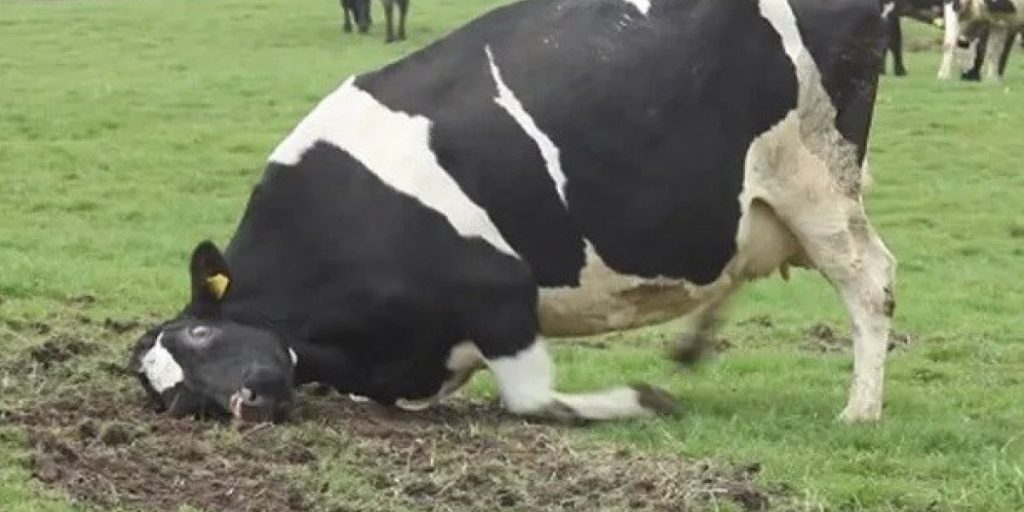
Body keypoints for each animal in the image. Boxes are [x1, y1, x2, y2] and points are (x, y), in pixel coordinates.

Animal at [131, 0, 896, 426]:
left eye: (200, 335)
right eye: (170, 397)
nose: (243, 405)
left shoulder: (500, 291)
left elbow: (530, 402)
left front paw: (644, 401)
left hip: (817, 179)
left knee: (871, 281)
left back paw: (859, 409)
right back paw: (694, 345)